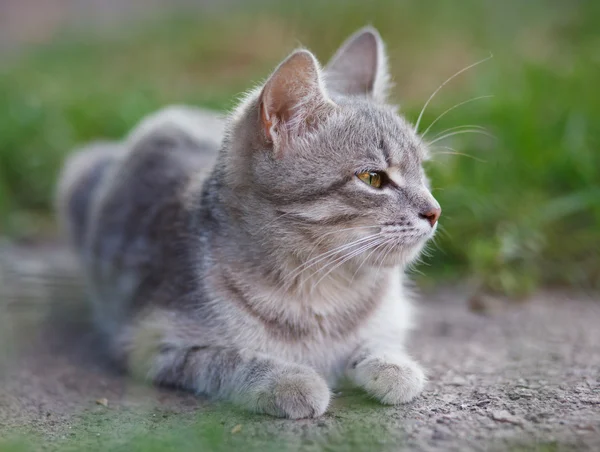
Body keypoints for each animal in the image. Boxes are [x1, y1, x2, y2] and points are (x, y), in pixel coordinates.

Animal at [56, 26, 440, 418]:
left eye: (421, 169)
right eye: (373, 178)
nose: (435, 211)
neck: (320, 291)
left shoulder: (391, 317)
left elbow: (378, 341)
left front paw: (392, 366)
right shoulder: (150, 344)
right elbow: (230, 360)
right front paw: (291, 380)